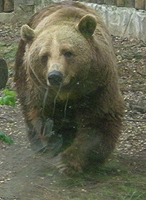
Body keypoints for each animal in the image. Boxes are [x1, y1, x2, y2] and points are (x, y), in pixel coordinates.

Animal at [14, 1, 124, 173]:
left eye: (67, 52)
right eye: (44, 56)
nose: (55, 75)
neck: (69, 90)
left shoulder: (97, 86)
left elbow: (99, 119)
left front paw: (70, 161)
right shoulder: (43, 92)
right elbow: (48, 118)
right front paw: (59, 145)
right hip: (23, 68)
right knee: (26, 102)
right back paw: (38, 144)